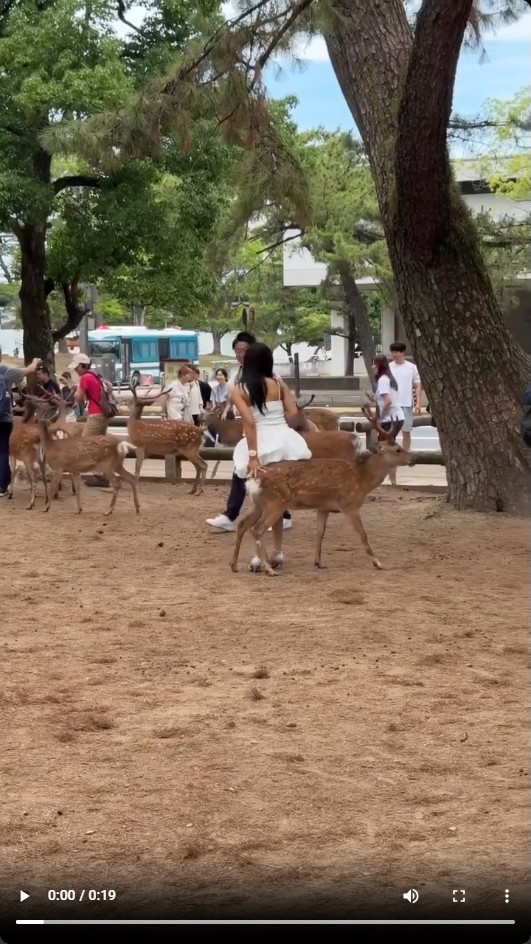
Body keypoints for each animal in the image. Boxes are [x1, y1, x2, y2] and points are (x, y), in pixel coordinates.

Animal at [230, 406, 414, 576]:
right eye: (397, 449)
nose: (413, 458)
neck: (362, 480)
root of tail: (253, 479)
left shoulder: (323, 507)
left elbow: (320, 533)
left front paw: (318, 562)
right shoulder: (349, 505)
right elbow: (363, 534)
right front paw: (377, 562)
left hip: (259, 503)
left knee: (243, 524)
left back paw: (234, 564)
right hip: (276, 502)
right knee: (257, 529)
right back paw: (268, 568)